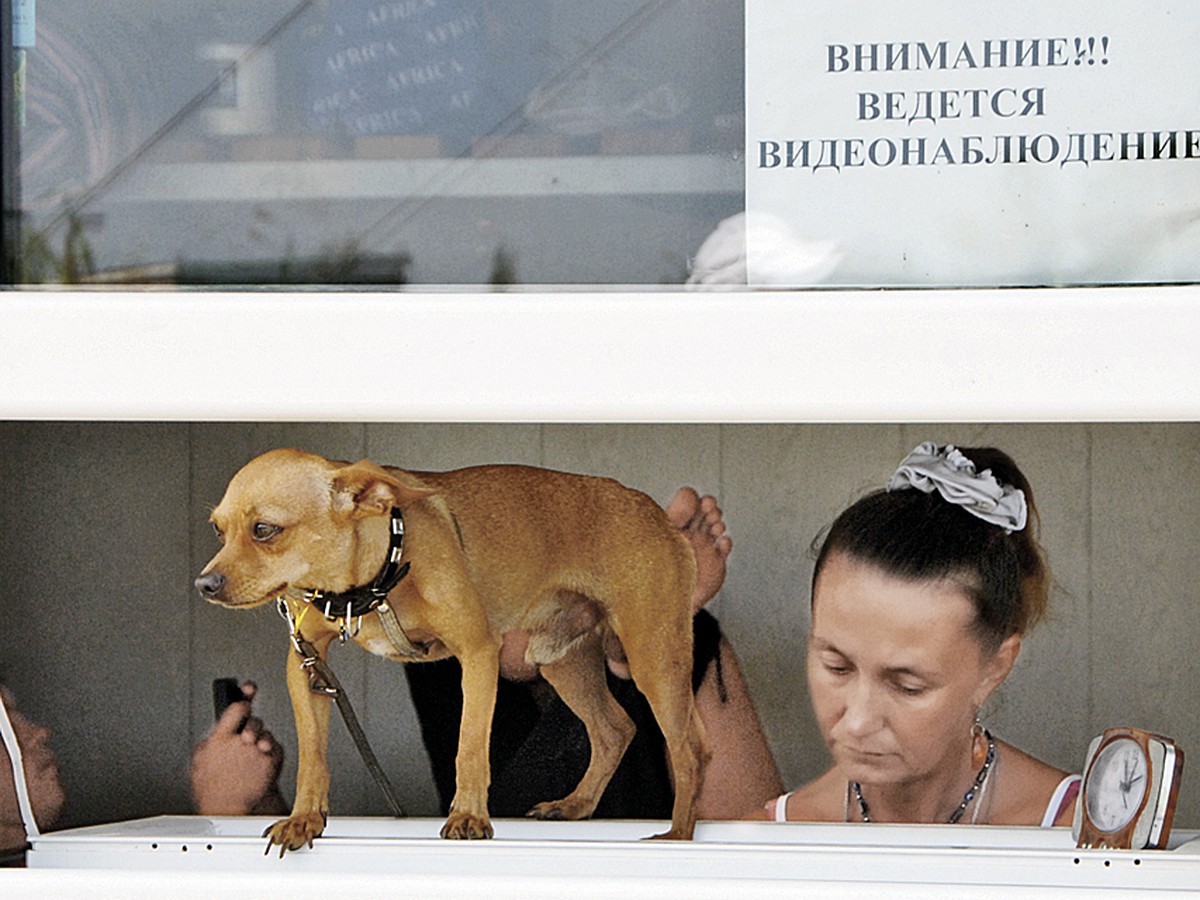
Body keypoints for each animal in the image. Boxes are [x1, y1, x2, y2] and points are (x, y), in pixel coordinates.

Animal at [193, 451, 705, 854]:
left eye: (264, 530)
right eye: (218, 530)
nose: (204, 584)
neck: (373, 583)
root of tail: (654, 511)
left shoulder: (477, 653)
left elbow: (470, 747)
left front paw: (469, 818)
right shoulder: (305, 665)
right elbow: (313, 757)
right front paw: (304, 820)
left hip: (654, 658)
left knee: (689, 749)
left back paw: (678, 835)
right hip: (561, 661)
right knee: (615, 728)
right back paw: (574, 805)